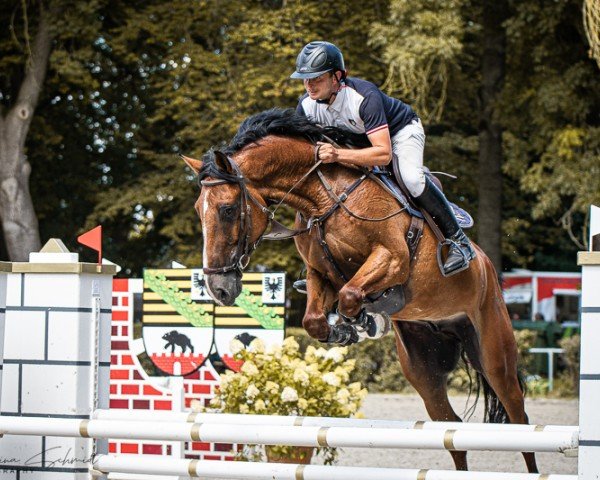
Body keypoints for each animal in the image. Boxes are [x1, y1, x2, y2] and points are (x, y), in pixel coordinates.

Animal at [183, 109, 540, 472]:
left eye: (228, 209)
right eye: (198, 210)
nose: (219, 288)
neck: (323, 197)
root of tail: (485, 264)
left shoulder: (392, 258)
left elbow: (352, 296)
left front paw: (366, 321)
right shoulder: (320, 274)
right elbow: (315, 319)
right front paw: (345, 330)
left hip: (494, 353)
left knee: (519, 419)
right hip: (424, 368)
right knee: (451, 429)